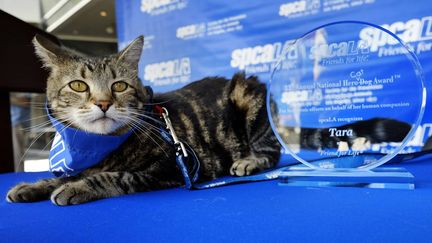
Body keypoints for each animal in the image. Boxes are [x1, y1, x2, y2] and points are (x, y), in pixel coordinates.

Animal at [7, 35, 284, 204]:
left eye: (119, 86)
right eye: (78, 85)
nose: (103, 103)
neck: (97, 146)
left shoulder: (173, 166)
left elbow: (116, 176)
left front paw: (77, 187)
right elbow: (64, 175)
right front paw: (33, 186)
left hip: (247, 94)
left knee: (272, 151)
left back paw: (249, 161)